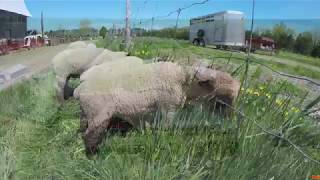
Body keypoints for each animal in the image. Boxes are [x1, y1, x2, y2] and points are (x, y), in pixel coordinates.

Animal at [74, 58, 240, 155]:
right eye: (223, 100)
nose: (228, 120)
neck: (184, 82)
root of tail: (80, 89)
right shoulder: (169, 107)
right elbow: (167, 127)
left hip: (87, 112)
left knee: (83, 128)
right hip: (98, 114)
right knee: (90, 135)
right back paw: (93, 154)